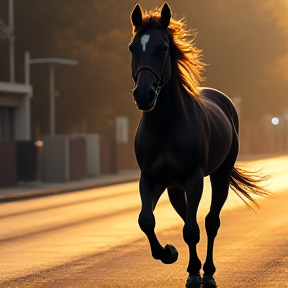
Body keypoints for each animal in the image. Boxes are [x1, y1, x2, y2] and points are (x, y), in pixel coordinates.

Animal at [129, 2, 268, 288]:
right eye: (132, 47)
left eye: (163, 47)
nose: (143, 95)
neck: (166, 125)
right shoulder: (150, 178)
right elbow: (146, 220)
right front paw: (168, 253)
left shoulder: (194, 178)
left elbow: (193, 229)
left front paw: (197, 272)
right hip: (174, 186)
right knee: (186, 217)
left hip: (220, 176)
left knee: (210, 222)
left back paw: (209, 272)